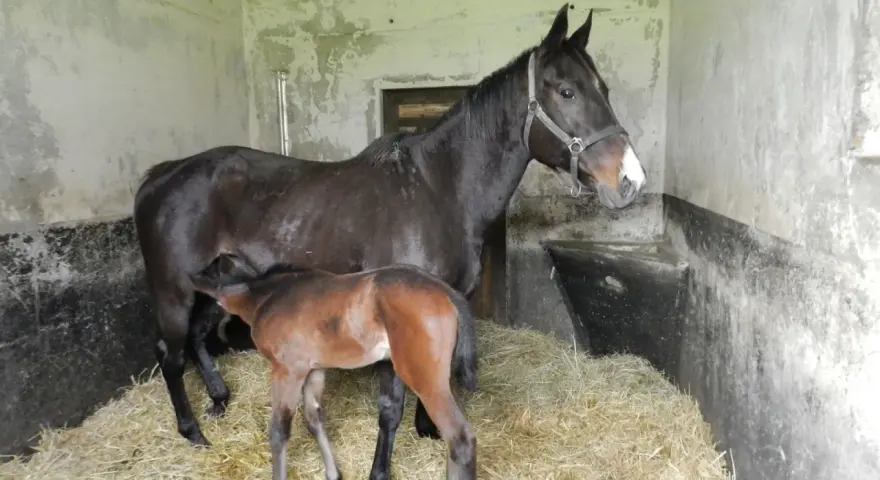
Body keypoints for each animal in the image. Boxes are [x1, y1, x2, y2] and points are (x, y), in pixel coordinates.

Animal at [189, 254, 478, 480]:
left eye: (205, 299)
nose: (195, 330)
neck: (269, 297)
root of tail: (447, 292)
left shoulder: (287, 370)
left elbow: (279, 429)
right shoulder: (313, 370)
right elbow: (314, 418)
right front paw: (333, 474)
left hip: (424, 379)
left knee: (460, 440)